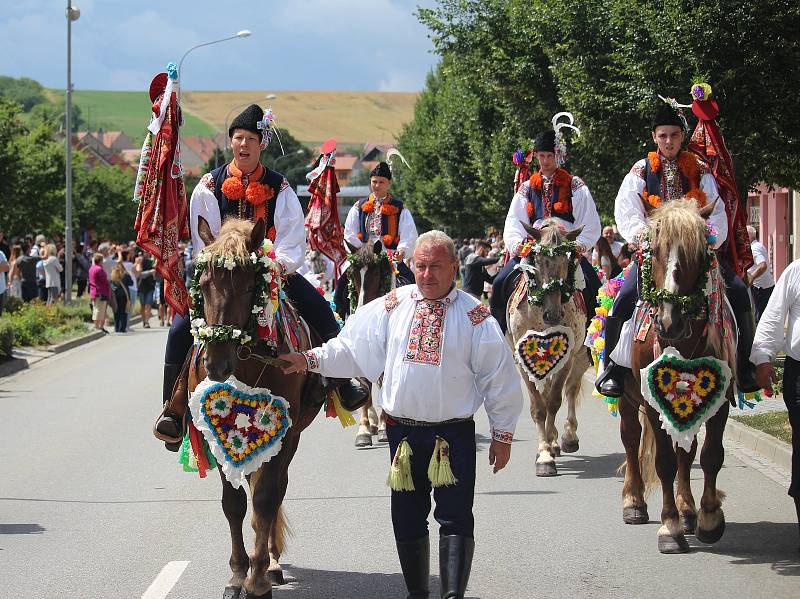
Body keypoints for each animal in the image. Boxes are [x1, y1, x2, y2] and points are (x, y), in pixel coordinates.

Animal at [189, 218, 324, 596]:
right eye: (203, 286)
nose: (216, 364)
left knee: (276, 490)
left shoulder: (285, 432)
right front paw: (238, 574)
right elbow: (233, 504)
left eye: (250, 286)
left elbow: (265, 497)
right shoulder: (215, 435)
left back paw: (272, 562)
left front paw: (259, 575)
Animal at [510, 220, 592, 478]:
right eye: (536, 260)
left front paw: (549, 448)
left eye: (568, 262)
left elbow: (555, 401)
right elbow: (539, 407)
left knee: (570, 391)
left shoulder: (567, 358)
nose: (553, 315)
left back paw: (566, 437)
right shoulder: (522, 360)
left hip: (579, 358)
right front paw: (544, 453)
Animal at [616, 199, 736, 556]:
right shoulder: (653, 404)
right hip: (628, 399)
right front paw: (669, 528)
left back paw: (687, 510)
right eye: (653, 251)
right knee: (631, 440)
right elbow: (665, 463)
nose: (670, 320)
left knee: (688, 451)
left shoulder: (720, 402)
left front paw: (708, 518)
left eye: (697, 253)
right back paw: (635, 502)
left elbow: (710, 456)